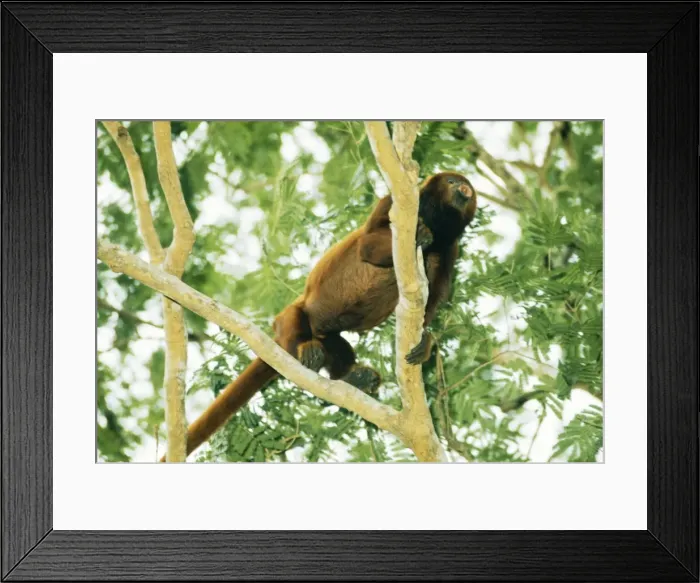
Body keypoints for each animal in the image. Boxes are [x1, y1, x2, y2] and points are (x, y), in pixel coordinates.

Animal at [161, 172, 477, 461]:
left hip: (329, 336)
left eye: (467, 187)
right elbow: (368, 244)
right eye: (451, 182)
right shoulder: (392, 203)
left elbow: (434, 297)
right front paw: (420, 236)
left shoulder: (451, 248)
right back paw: (307, 351)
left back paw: (353, 377)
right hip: (291, 317)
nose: (464, 189)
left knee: (339, 346)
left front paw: (425, 340)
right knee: (294, 329)